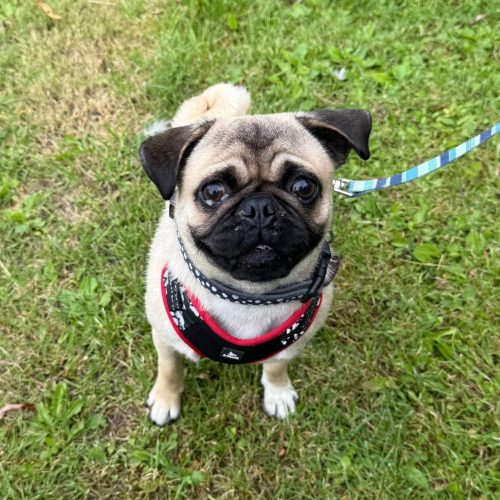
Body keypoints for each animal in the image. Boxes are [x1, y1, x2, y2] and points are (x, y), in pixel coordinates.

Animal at [139, 83, 371, 425]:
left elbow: (276, 367)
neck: (249, 295)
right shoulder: (164, 338)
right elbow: (169, 368)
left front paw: (277, 393)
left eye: (304, 187)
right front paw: (165, 398)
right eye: (213, 192)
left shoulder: (289, 346)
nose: (259, 207)